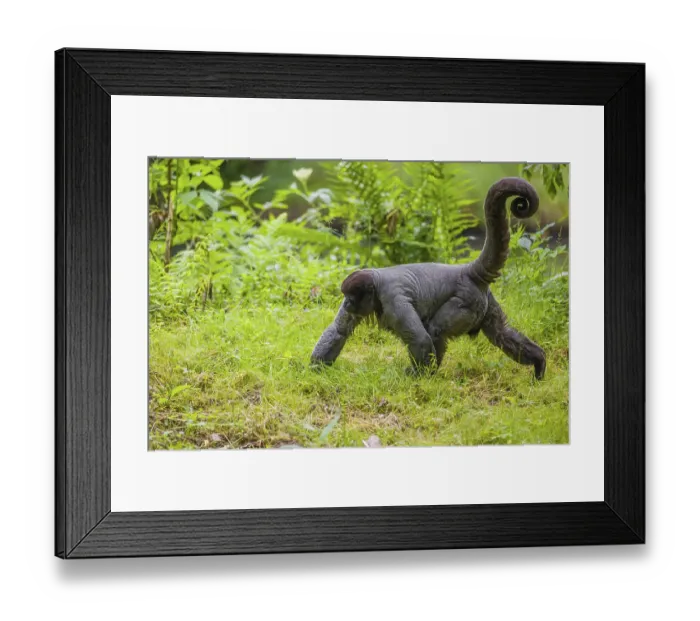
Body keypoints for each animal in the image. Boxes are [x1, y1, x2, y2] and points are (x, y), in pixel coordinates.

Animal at [310, 177, 547, 379]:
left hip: (465, 302)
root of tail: (466, 271)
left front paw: (418, 376)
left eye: (351, 296)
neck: (376, 284)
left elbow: (421, 339)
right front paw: (313, 370)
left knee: (436, 330)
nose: (347, 303)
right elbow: (339, 331)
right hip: (483, 302)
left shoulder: (392, 299)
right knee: (501, 333)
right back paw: (539, 361)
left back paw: (429, 374)